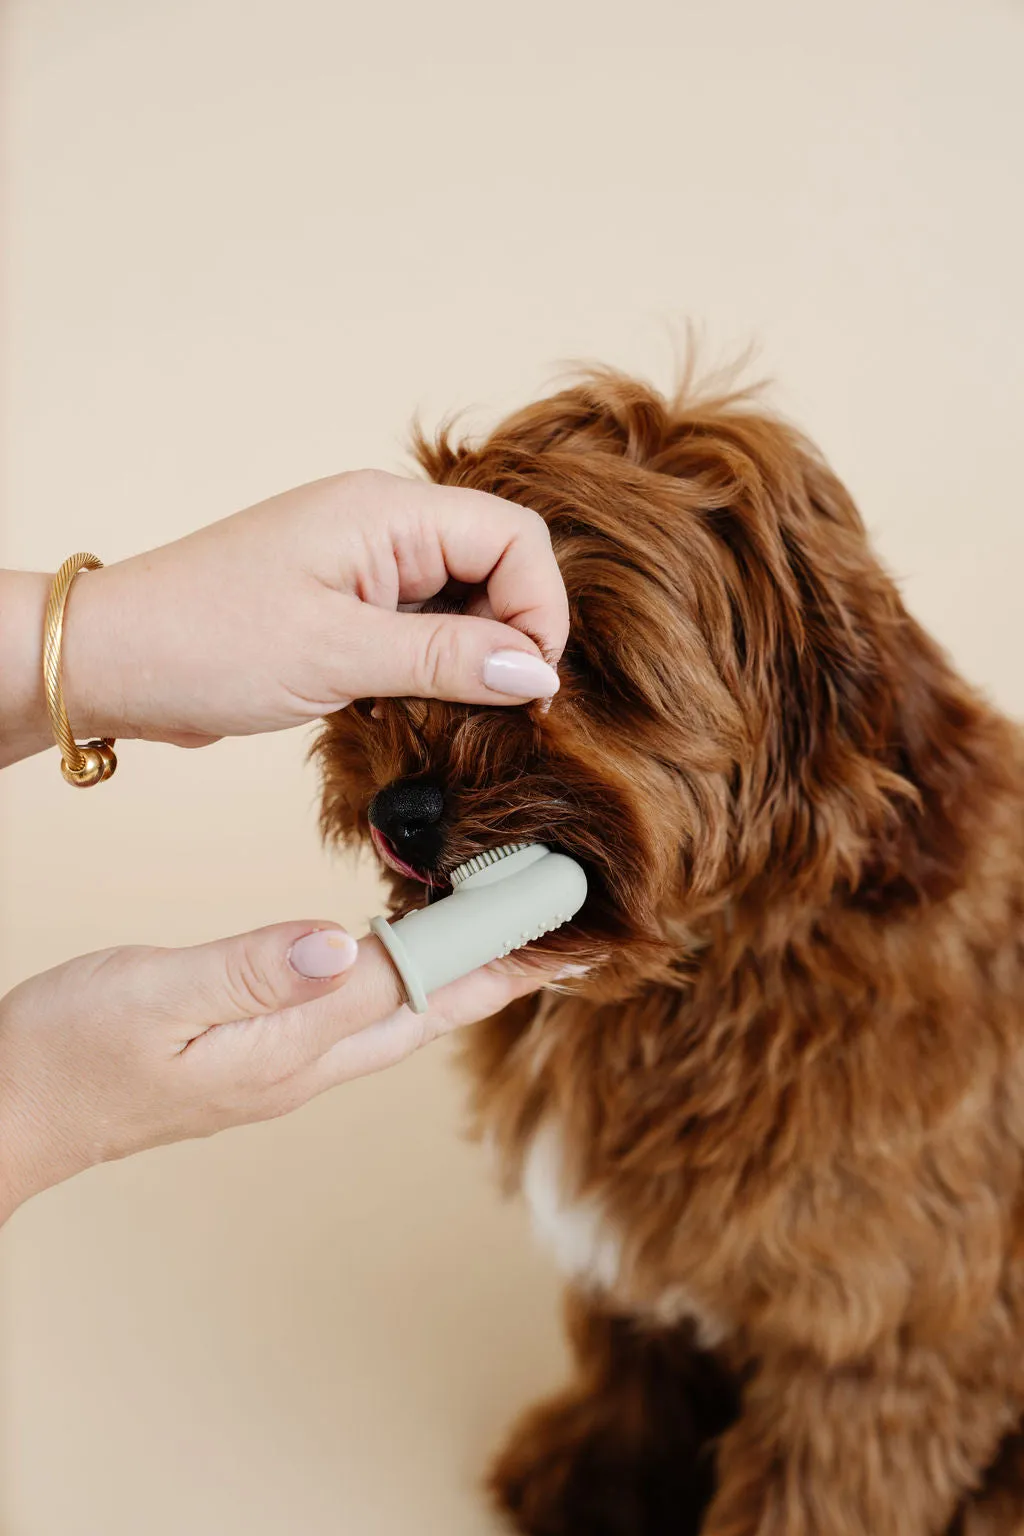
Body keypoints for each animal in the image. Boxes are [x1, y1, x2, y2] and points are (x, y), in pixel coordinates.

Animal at [316, 371, 1024, 1536]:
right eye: (429, 618)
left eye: (582, 656)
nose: (400, 811)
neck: (714, 969)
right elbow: (630, 1348)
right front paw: (594, 1475)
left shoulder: (881, 1339)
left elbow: (816, 1492)